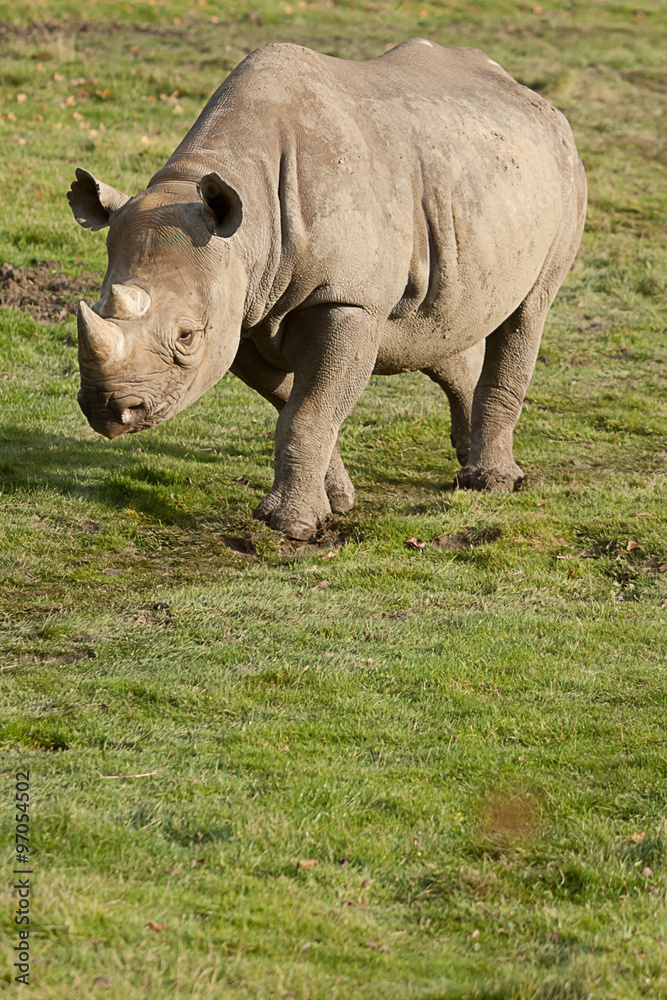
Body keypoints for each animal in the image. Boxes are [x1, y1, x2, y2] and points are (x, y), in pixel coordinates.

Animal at [68, 40, 586, 539]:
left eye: (187, 336)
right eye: (97, 305)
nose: (107, 410)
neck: (250, 227)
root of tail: (531, 95)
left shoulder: (347, 299)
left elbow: (308, 412)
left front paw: (291, 527)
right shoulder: (244, 311)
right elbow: (295, 404)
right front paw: (334, 503)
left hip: (563, 171)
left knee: (529, 310)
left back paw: (491, 483)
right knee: (438, 327)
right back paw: (466, 457)